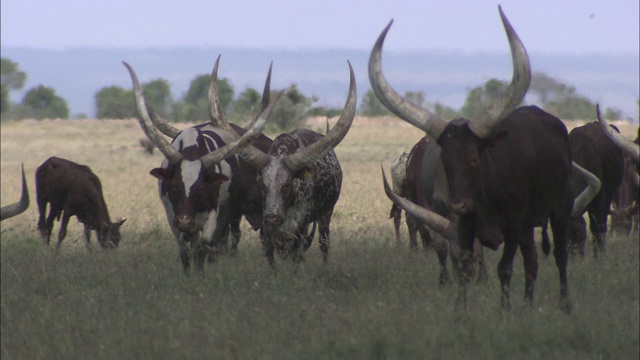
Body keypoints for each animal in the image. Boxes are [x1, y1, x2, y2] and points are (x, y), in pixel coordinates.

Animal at [125, 61, 280, 272]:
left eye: (200, 189)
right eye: (174, 187)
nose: (185, 221)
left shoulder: (214, 216)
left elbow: (203, 248)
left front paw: (201, 272)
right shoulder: (172, 215)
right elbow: (185, 253)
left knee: (233, 240)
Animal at [370, 7, 584, 314]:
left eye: (474, 159)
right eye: (445, 159)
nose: (459, 204)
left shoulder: (513, 223)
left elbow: (505, 268)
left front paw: (504, 311)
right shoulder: (460, 225)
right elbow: (458, 262)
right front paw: (460, 310)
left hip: (559, 208)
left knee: (559, 255)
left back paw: (565, 304)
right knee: (531, 261)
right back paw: (528, 304)